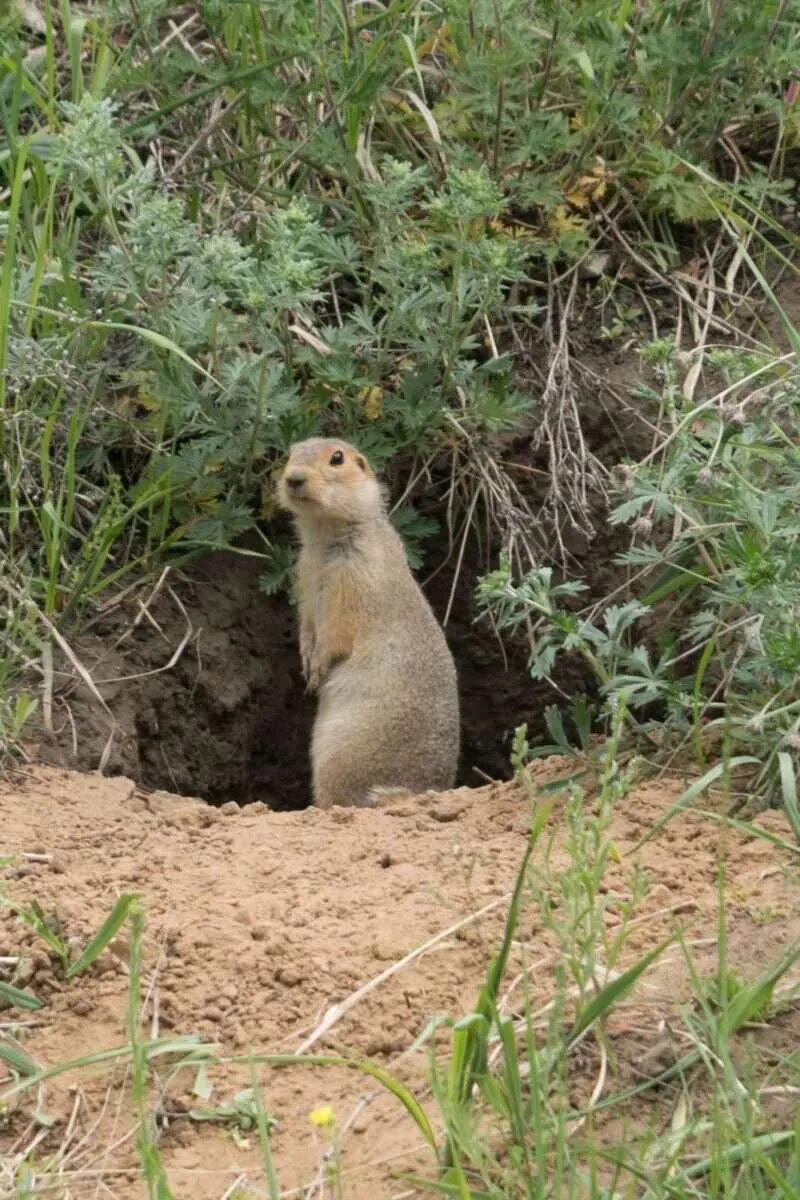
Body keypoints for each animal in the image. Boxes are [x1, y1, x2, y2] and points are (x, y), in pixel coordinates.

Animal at [278, 436, 460, 811]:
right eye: (290, 453)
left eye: (337, 458)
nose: (293, 478)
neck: (325, 537)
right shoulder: (305, 575)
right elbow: (307, 620)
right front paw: (306, 658)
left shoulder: (355, 578)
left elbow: (338, 629)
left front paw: (317, 666)